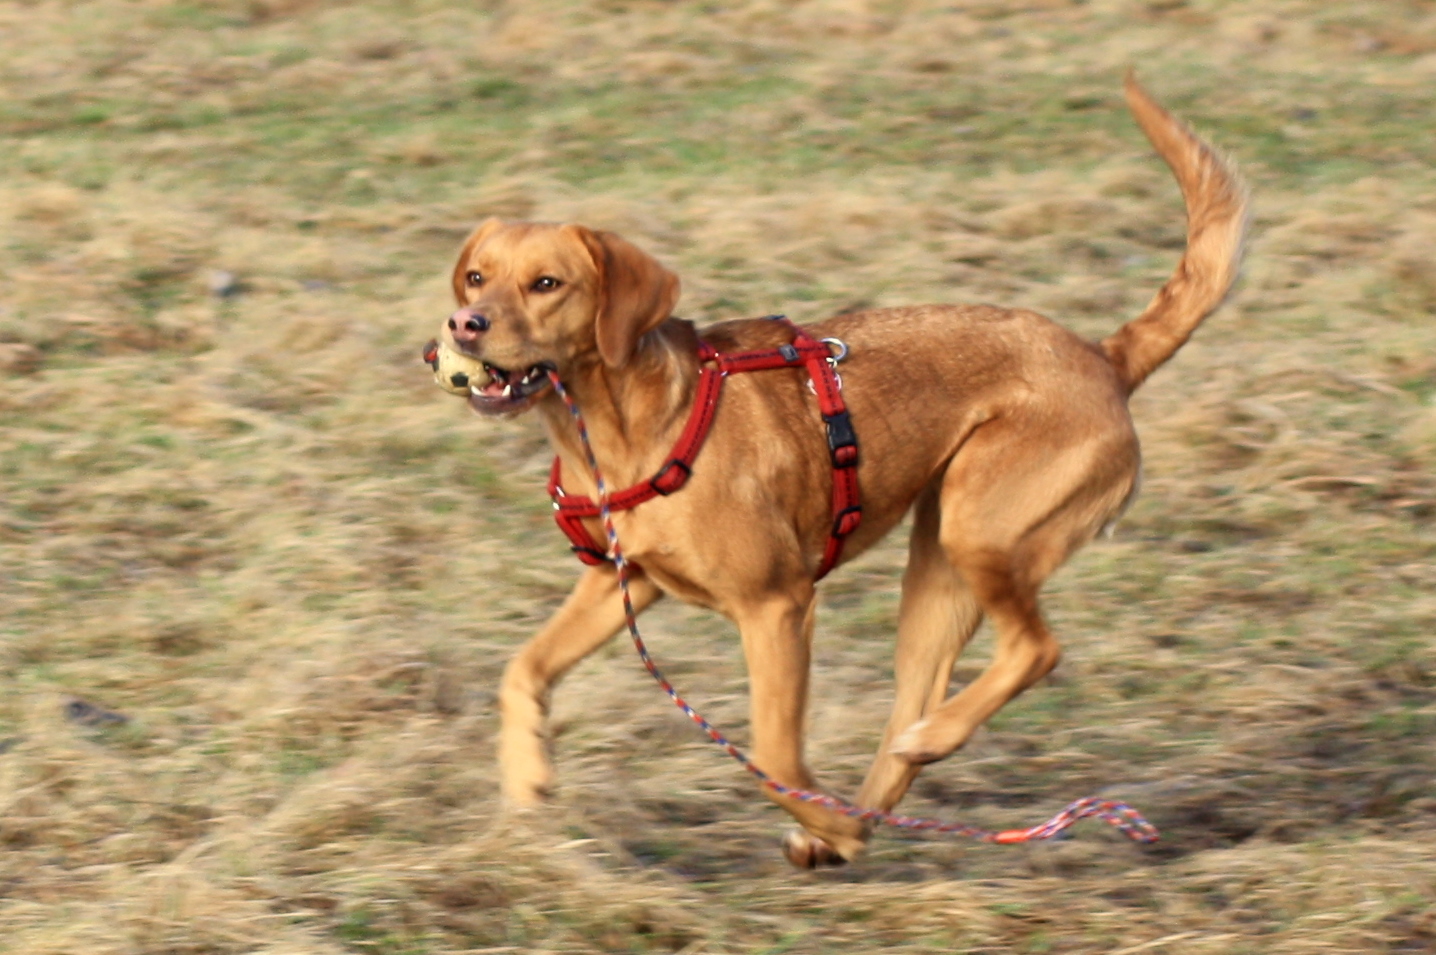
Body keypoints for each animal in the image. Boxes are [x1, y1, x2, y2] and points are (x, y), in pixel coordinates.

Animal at [433, 74, 1246, 861]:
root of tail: (1104, 358)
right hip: (937, 577)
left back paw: (866, 807)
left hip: (981, 532)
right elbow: (522, 669)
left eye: (547, 284)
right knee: (915, 708)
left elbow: (772, 754)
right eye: (475, 277)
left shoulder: (777, 605)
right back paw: (871, 805)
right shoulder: (619, 583)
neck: (623, 428)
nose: (464, 326)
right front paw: (528, 782)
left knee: (1035, 650)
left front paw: (821, 816)